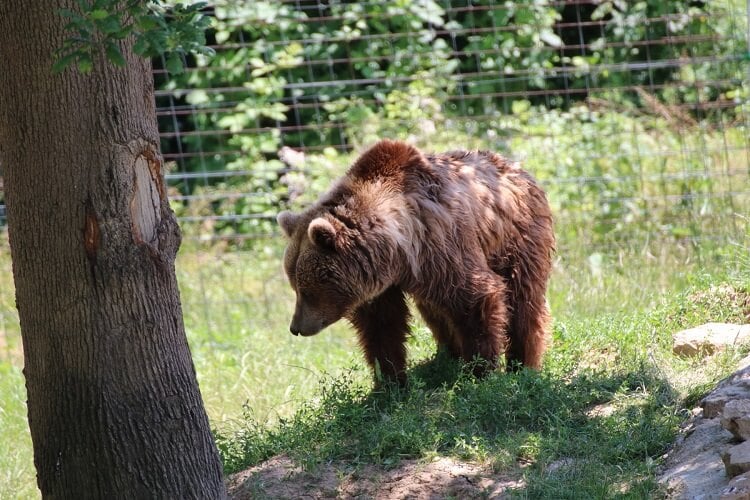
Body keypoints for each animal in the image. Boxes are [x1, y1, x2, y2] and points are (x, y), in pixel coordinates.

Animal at [280, 139, 556, 384]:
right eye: (295, 287)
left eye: (307, 290)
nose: (296, 327)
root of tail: (515, 166)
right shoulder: (380, 281)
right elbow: (382, 327)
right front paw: (389, 384)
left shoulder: (441, 247)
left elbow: (476, 299)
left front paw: (479, 372)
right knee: (435, 311)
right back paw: (446, 357)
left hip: (517, 239)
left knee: (523, 300)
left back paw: (523, 364)